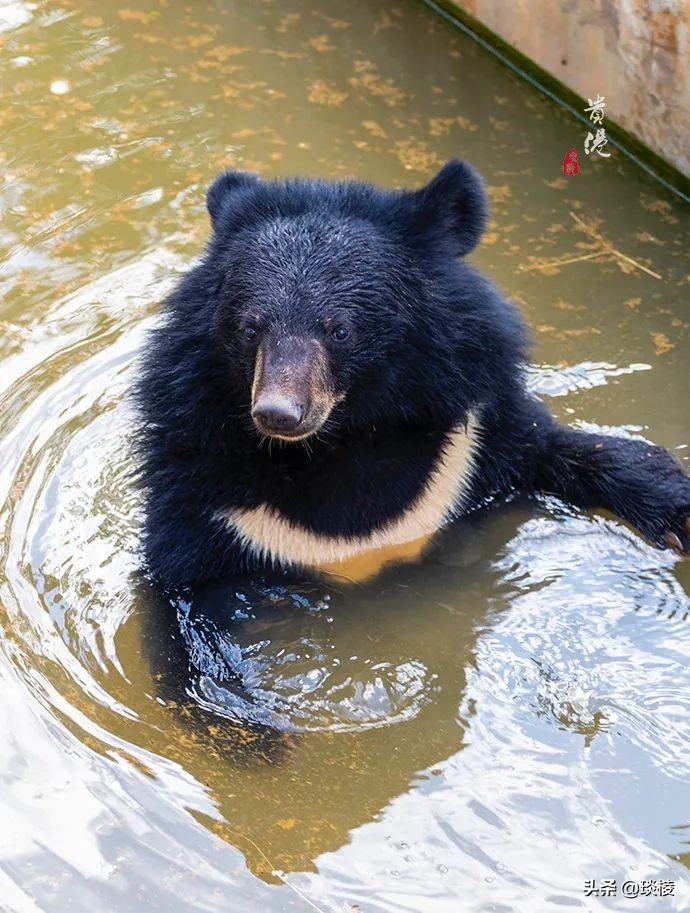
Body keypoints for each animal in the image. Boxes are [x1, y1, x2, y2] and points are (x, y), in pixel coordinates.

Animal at [134, 159, 688, 588]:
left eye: (340, 329)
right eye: (251, 328)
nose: (279, 414)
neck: (344, 440)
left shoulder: (476, 434)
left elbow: (566, 449)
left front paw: (677, 514)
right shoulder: (206, 498)